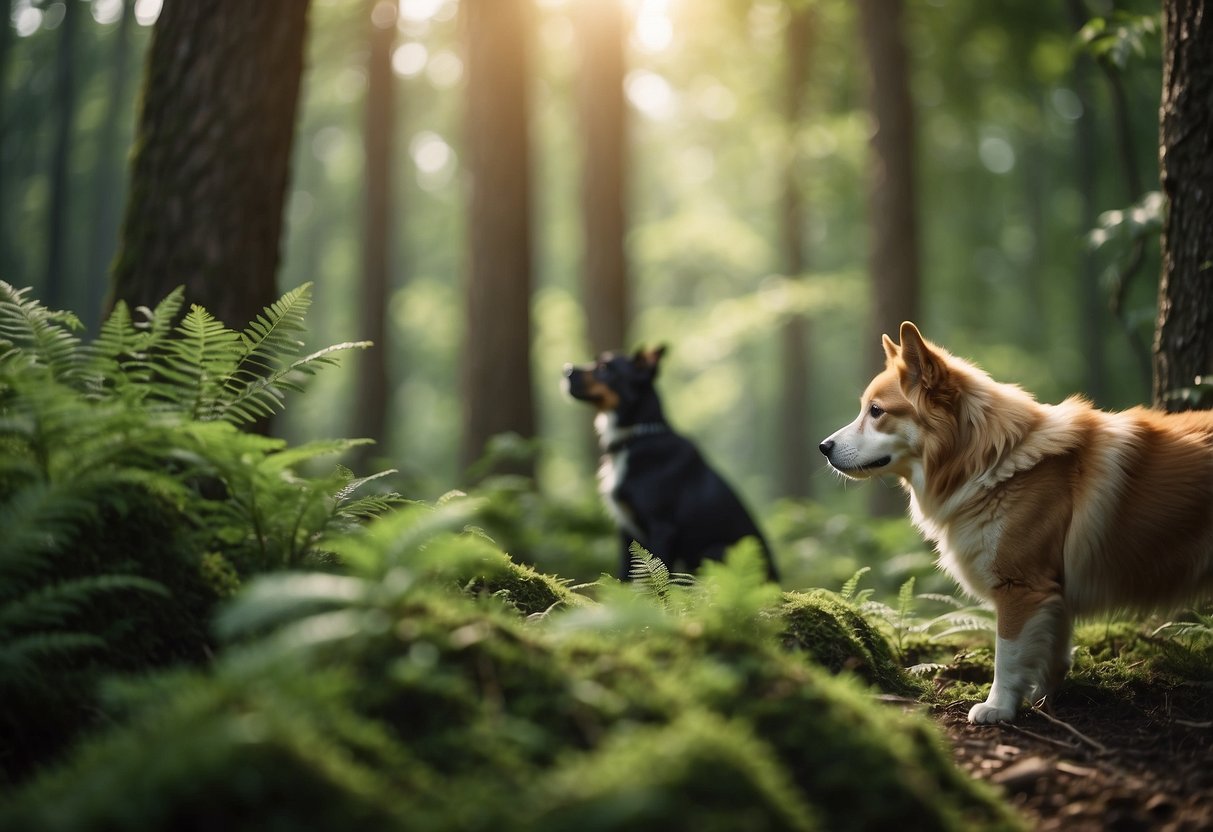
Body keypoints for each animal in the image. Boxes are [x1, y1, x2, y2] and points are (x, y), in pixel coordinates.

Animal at [560, 349, 776, 584]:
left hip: (715, 551)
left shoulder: (663, 527)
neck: (635, 437)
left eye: (604, 368)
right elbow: (625, 572)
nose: (566, 370)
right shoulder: (625, 530)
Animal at [819, 322, 1208, 727]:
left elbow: (1007, 655)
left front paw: (999, 707)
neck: (989, 462)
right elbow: (1052, 655)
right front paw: (1040, 699)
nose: (823, 447)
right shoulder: (1054, 591)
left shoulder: (1020, 587)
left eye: (876, 411)